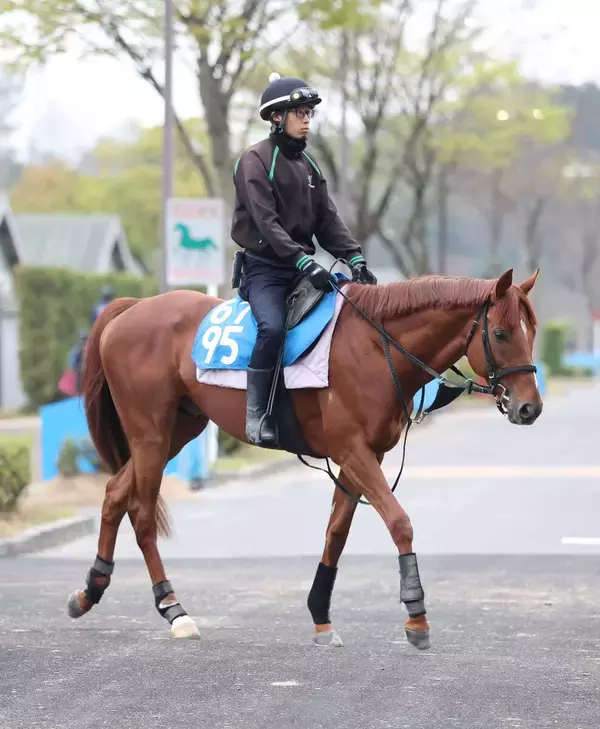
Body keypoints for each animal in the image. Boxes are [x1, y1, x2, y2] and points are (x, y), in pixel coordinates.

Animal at [67, 266, 542, 650]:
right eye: (502, 334)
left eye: (531, 332)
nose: (529, 408)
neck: (376, 345)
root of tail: (131, 309)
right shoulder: (353, 451)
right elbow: (399, 522)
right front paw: (416, 615)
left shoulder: (362, 457)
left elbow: (336, 533)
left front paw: (320, 616)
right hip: (150, 433)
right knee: (143, 513)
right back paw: (173, 607)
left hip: (176, 432)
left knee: (115, 493)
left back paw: (91, 589)